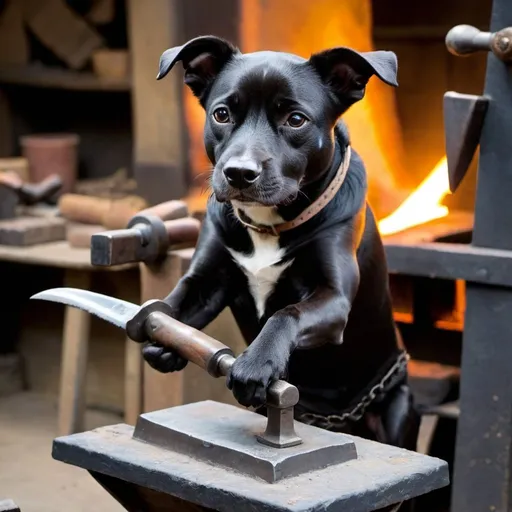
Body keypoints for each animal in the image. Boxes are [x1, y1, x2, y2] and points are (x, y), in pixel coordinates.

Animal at [142, 34, 418, 454]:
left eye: (296, 120)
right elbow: (176, 300)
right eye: (222, 114)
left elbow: (286, 313)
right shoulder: (209, 278)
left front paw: (256, 364)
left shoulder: (333, 297)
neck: (268, 226)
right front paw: (164, 338)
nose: (239, 173)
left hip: (399, 413)